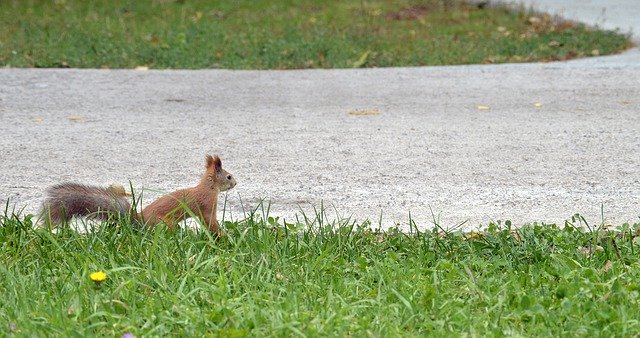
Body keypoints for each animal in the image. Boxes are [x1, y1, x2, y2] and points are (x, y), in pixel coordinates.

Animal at [42, 154, 238, 235]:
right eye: (228, 176)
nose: (235, 183)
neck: (208, 187)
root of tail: (138, 219)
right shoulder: (207, 204)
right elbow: (209, 221)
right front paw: (222, 234)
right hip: (165, 223)